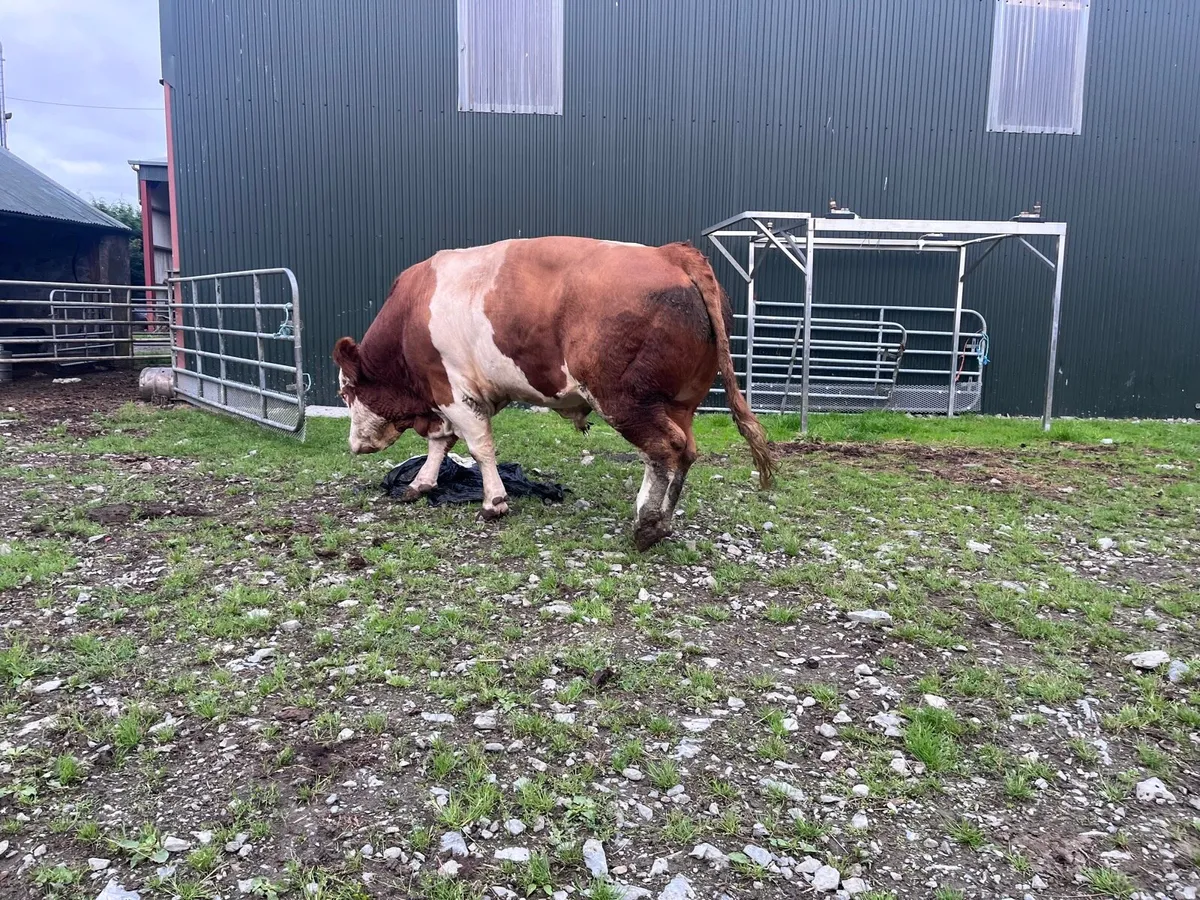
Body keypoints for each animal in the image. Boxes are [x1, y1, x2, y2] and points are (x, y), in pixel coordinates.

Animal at [333, 236, 775, 550]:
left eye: (345, 392)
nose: (352, 445)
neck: (412, 311)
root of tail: (670, 253)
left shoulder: (451, 389)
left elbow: (478, 446)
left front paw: (494, 503)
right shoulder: (446, 397)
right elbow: (441, 443)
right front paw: (421, 484)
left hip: (624, 399)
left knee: (664, 449)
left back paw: (647, 525)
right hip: (680, 402)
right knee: (686, 450)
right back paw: (663, 522)